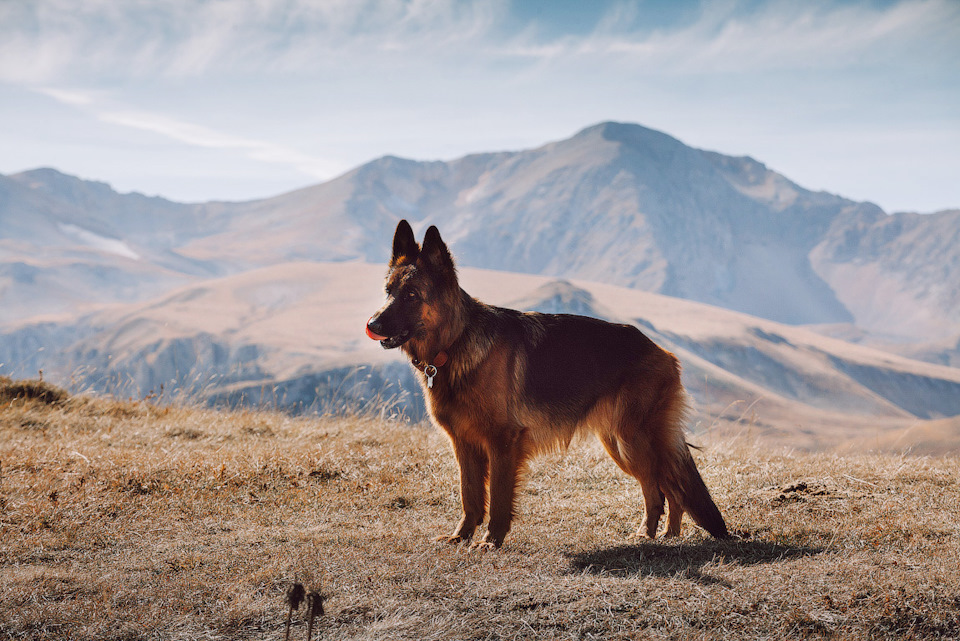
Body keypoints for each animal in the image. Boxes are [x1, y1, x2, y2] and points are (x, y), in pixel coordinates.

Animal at [368, 221, 728, 552]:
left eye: (412, 295)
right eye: (388, 291)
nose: (372, 324)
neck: (456, 341)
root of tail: (664, 352)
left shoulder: (502, 442)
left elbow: (498, 497)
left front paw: (490, 541)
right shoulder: (464, 444)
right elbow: (469, 495)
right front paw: (462, 536)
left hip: (634, 440)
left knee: (665, 485)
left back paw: (652, 535)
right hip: (619, 442)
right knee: (666, 486)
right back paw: (664, 535)